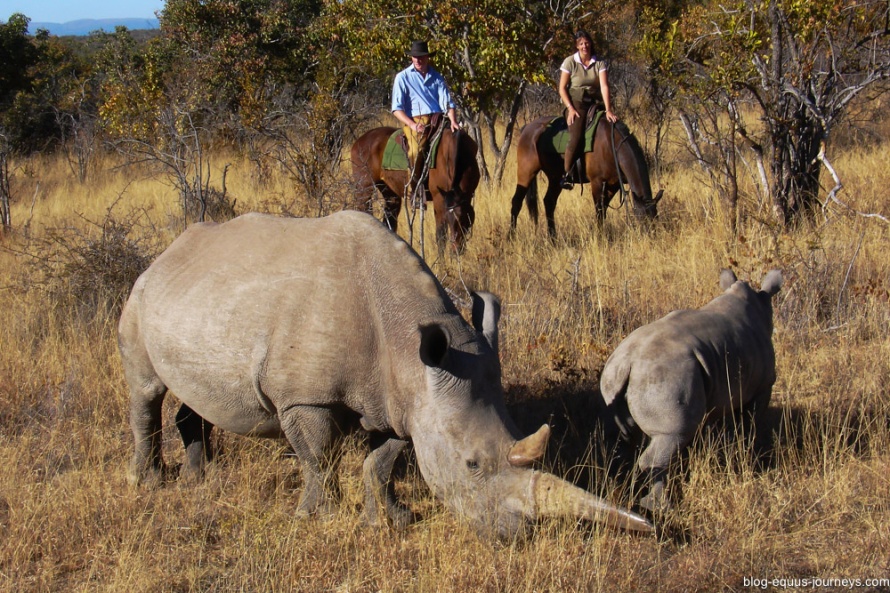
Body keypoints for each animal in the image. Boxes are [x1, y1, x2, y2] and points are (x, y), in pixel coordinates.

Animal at [119, 210, 652, 540]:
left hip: (194, 300)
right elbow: (320, 458)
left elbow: (381, 463)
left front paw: (392, 521)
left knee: (192, 396)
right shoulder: (304, 397)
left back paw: (199, 477)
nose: (513, 535)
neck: (406, 344)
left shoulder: (401, 402)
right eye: (472, 465)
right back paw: (150, 483)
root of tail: (166, 252)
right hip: (140, 297)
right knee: (146, 391)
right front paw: (319, 517)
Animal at [350, 126, 482, 251]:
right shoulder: (439, 200)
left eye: (465, 220)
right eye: (450, 220)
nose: (456, 250)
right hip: (364, 190)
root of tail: (358, 142)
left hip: (390, 194)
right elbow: (441, 237)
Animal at [506, 114, 660, 237]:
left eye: (655, 217)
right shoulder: (597, 182)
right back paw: (511, 237)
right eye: (641, 218)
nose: (650, 237)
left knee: (549, 202)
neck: (611, 146)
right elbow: (599, 211)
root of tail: (527, 128)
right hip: (526, 173)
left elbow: (604, 209)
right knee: (516, 202)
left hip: (555, 178)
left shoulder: (613, 185)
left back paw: (553, 238)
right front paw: (600, 237)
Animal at [600, 270, 780, 512]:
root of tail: (628, 361)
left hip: (612, 378)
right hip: (666, 380)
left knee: (618, 436)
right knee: (672, 436)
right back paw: (661, 507)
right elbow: (749, 423)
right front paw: (746, 451)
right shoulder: (763, 386)